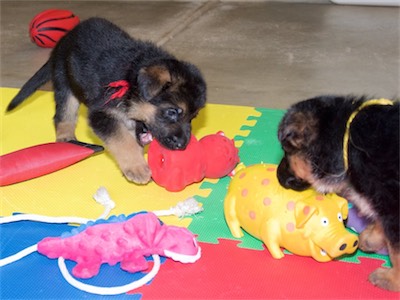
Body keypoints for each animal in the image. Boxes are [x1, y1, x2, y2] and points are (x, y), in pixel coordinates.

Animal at [7, 18, 206, 185]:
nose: (182, 146)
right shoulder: (102, 114)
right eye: (172, 112)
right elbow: (123, 140)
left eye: (192, 118)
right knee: (63, 115)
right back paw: (66, 139)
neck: (131, 79)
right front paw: (136, 167)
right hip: (65, 83)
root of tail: (64, 39)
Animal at [276, 95, 398, 290]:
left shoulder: (391, 202)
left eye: (287, 152)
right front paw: (372, 238)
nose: (277, 176)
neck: (347, 145)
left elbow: (396, 249)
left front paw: (392, 279)